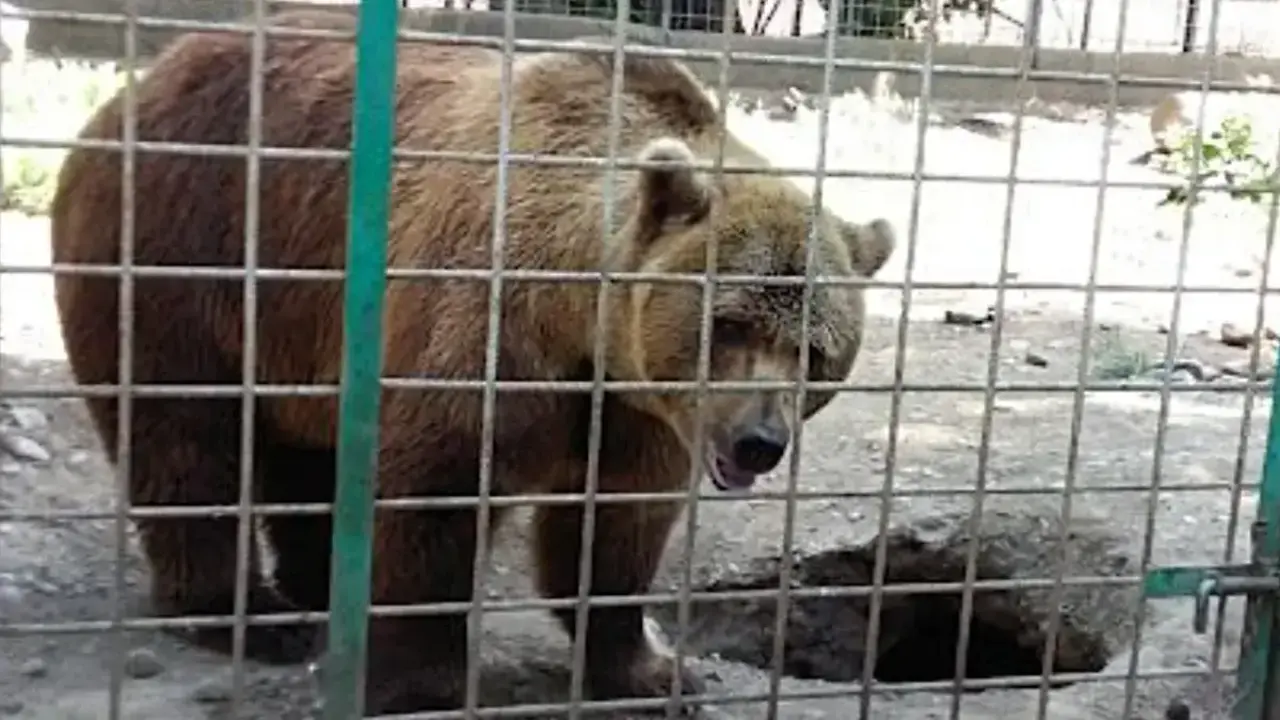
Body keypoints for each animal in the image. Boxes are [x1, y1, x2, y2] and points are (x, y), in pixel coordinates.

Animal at [48, 10, 895, 716]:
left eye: (813, 350)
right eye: (730, 324)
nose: (758, 439)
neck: (582, 320)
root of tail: (133, 91)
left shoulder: (633, 407)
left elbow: (617, 527)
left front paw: (654, 669)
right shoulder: (490, 327)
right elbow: (436, 496)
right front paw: (420, 683)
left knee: (302, 449)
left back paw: (317, 579)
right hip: (186, 248)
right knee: (185, 440)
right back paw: (253, 616)